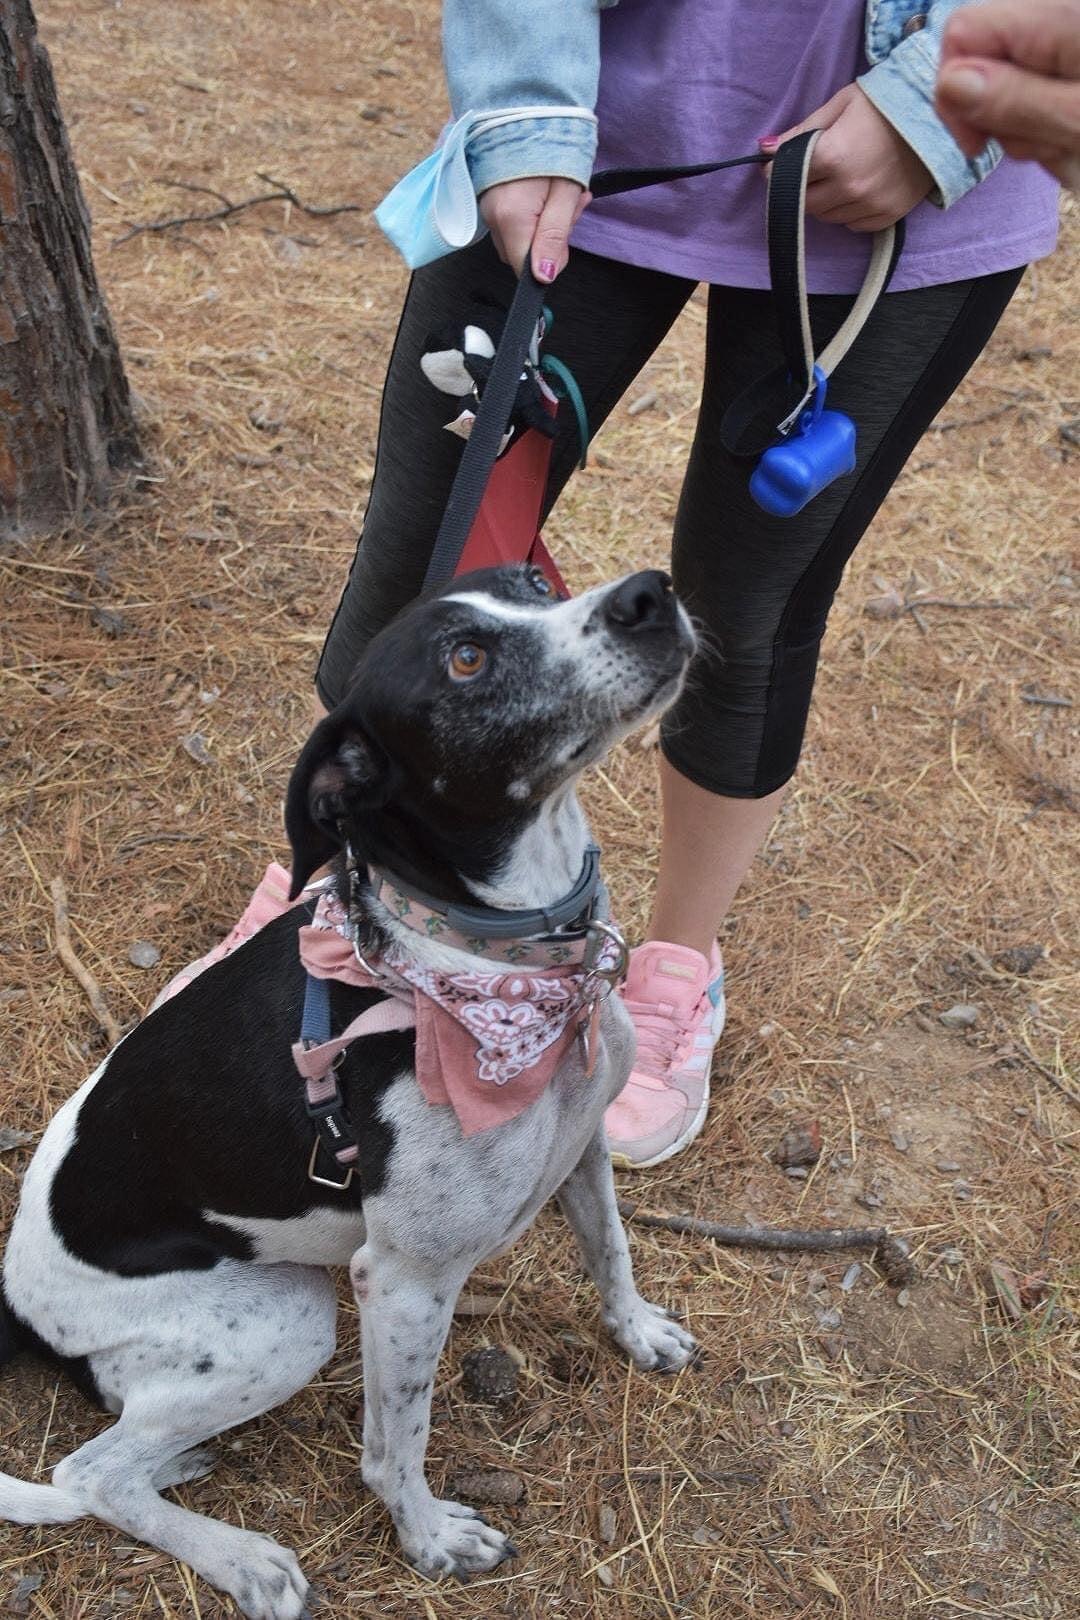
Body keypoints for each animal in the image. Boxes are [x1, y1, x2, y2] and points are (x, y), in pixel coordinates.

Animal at [0, 563, 698, 1619]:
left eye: (534, 582)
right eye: (466, 661)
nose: (651, 592)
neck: (486, 967)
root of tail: (14, 1307)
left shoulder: (582, 1149)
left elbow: (611, 1255)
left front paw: (639, 1332)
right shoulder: (404, 1286)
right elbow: (395, 1445)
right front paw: (429, 1538)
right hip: (288, 1322)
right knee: (91, 1474)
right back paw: (245, 1559)